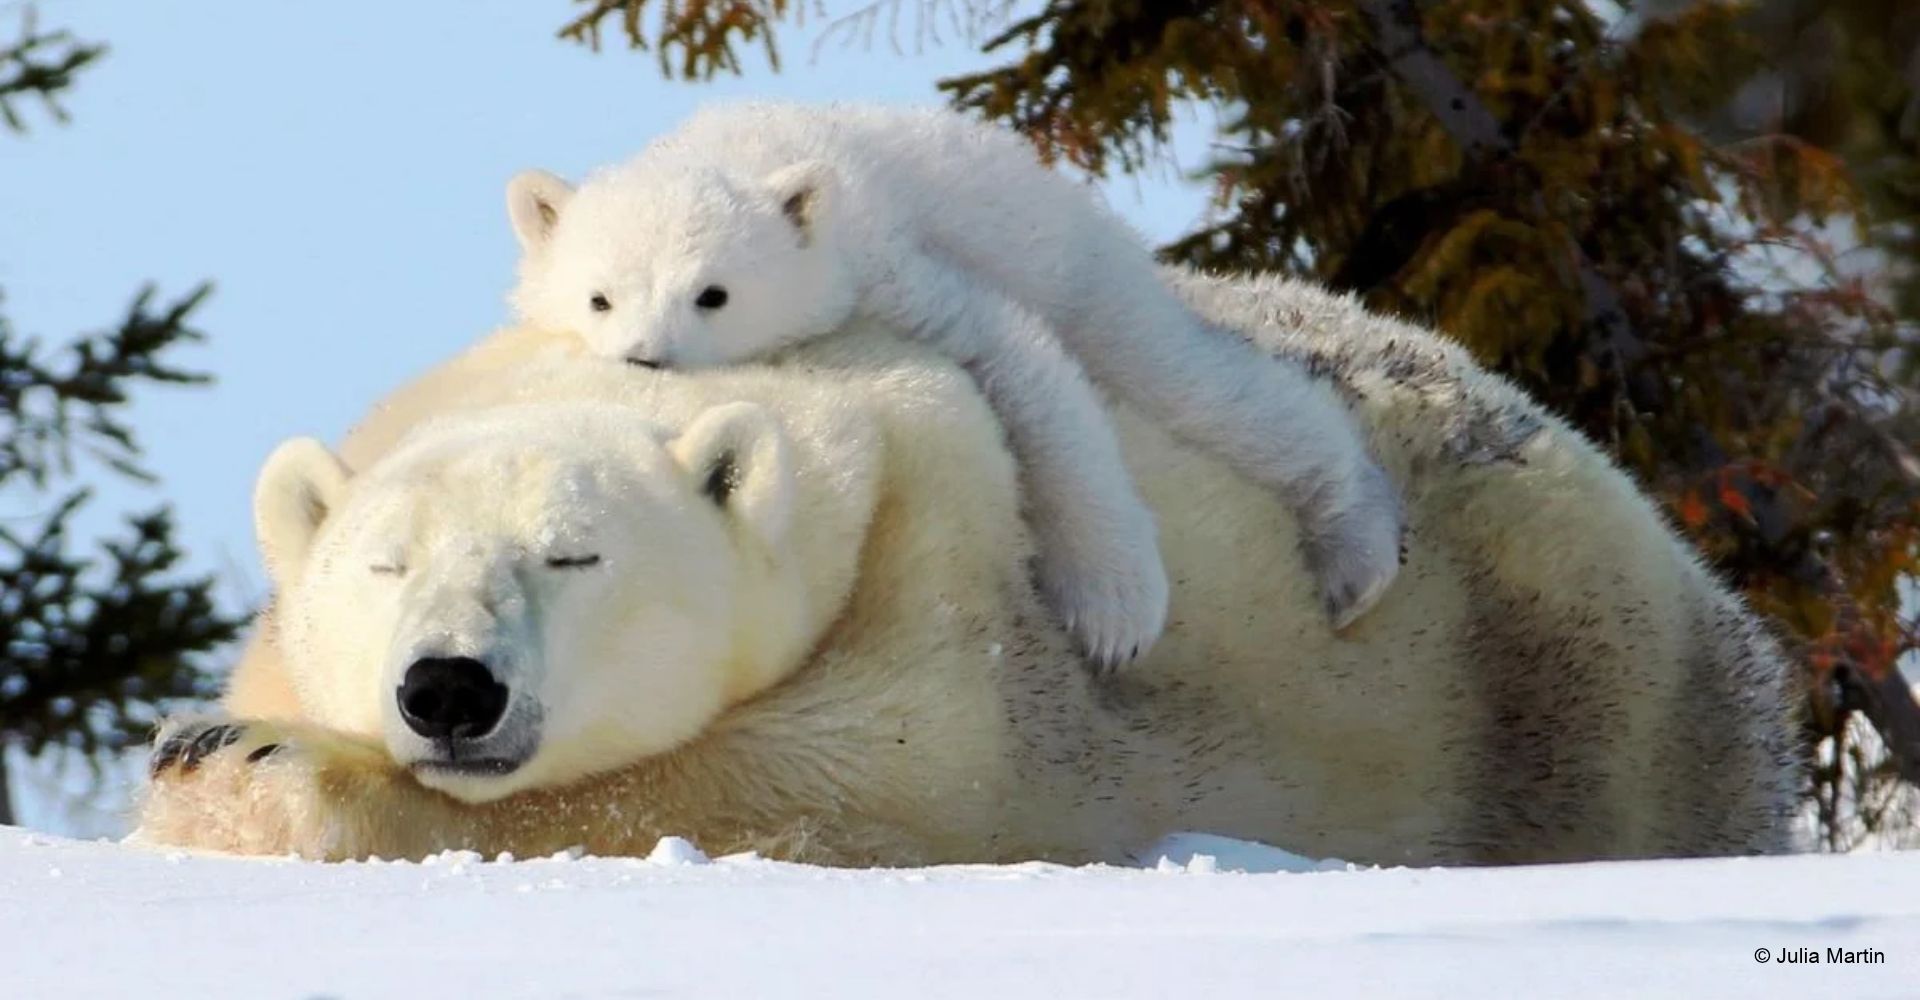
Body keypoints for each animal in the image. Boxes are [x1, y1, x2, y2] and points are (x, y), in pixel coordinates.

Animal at [135, 269, 1801, 867]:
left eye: (573, 553)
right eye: (383, 565)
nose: (448, 690)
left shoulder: (948, 550)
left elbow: (865, 778)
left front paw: (256, 769)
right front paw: (218, 743)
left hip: (1574, 672)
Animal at [505, 101, 1406, 665]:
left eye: (713, 293)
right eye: (600, 296)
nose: (644, 358)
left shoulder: (890, 270)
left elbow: (1021, 364)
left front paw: (1113, 612)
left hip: (1082, 271)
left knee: (1191, 382)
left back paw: (1355, 559)